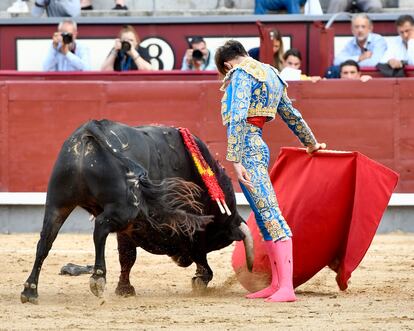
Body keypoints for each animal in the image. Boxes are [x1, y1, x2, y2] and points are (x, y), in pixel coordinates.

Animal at [21, 120, 254, 304]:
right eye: (214, 239)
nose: (183, 261)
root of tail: (91, 128)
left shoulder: (131, 230)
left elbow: (127, 256)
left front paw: (124, 290)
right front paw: (201, 278)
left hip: (58, 203)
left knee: (45, 241)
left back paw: (30, 290)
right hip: (123, 211)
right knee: (100, 227)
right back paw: (98, 278)